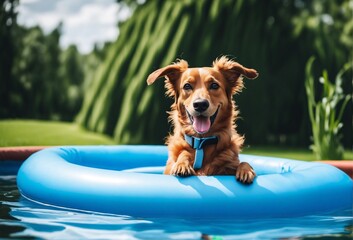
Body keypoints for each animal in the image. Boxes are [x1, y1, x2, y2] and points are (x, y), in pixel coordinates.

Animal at [147, 56, 258, 184]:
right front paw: (182, 164)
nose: (200, 104)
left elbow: (243, 163)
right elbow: (183, 155)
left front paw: (246, 170)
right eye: (187, 86)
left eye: (214, 85)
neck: (201, 143)